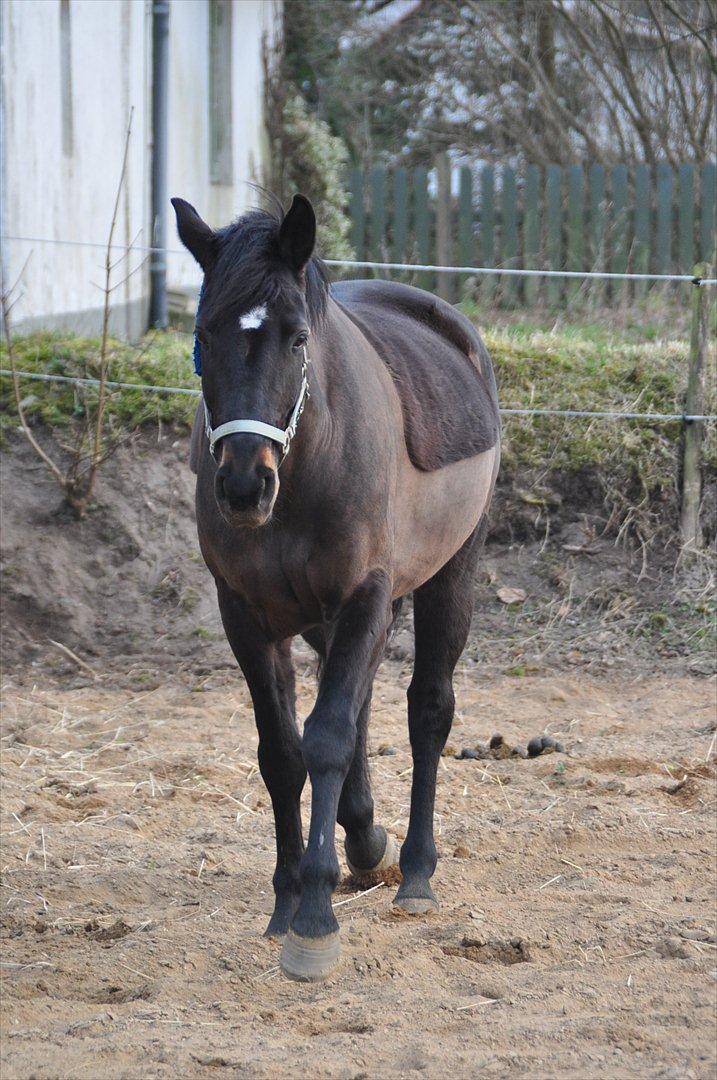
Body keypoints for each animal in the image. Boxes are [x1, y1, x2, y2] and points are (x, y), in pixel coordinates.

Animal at [171, 194, 501, 980]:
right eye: (203, 334)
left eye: (295, 338)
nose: (243, 485)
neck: (307, 466)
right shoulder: (247, 617)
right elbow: (282, 751)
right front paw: (288, 898)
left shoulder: (364, 597)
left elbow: (325, 739)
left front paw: (315, 921)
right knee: (360, 708)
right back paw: (364, 838)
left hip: (451, 575)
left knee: (427, 710)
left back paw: (414, 871)